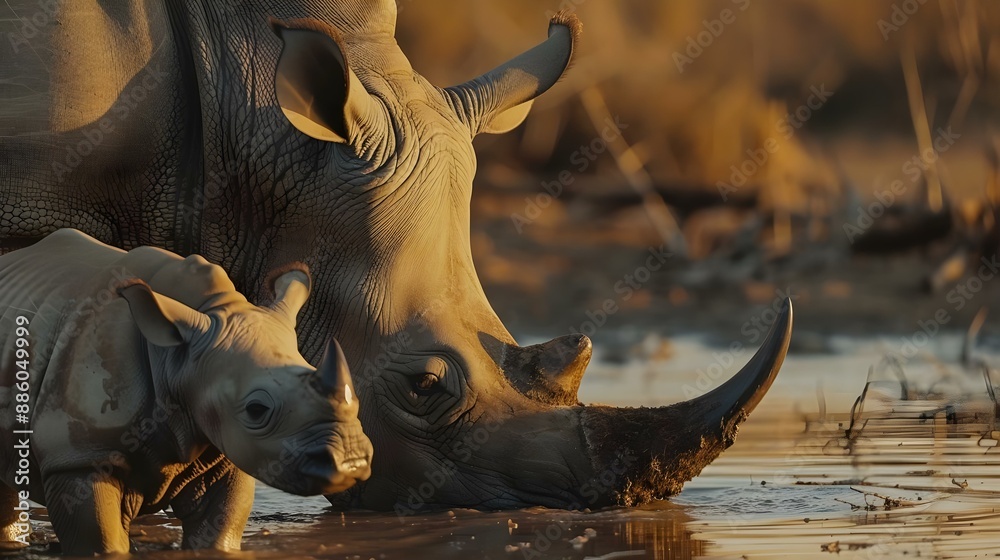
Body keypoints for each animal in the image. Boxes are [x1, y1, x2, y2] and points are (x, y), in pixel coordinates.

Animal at [0, 229, 373, 554]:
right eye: (256, 409)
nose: (351, 461)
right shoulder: (78, 455)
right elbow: (100, 540)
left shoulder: (224, 451)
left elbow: (219, 527)